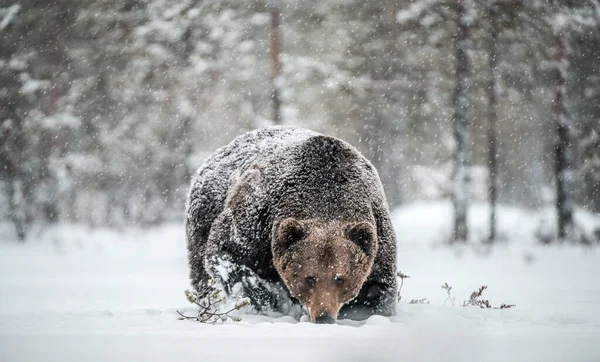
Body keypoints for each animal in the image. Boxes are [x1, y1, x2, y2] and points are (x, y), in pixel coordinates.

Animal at [185, 125, 396, 322]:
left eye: (340, 278)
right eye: (310, 278)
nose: (324, 317)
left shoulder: (377, 236)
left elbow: (378, 290)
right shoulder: (257, 219)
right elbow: (228, 253)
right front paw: (266, 299)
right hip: (204, 212)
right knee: (202, 274)